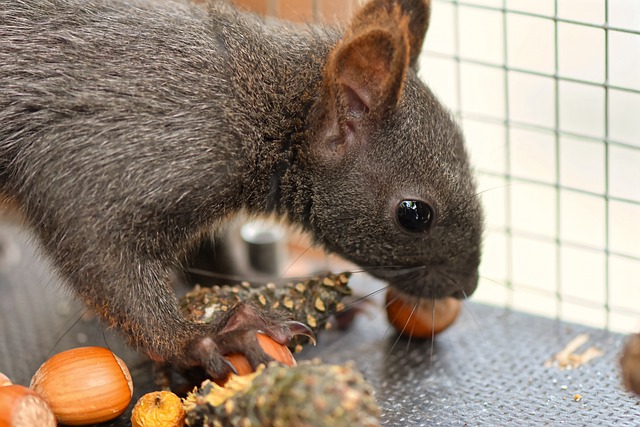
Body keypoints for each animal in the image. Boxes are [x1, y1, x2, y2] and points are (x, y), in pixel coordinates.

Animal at [0, 0, 480, 382]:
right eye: (414, 214)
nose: (468, 286)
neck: (263, 100)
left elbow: (211, 258)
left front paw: (273, 287)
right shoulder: (120, 158)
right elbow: (101, 251)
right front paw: (201, 339)